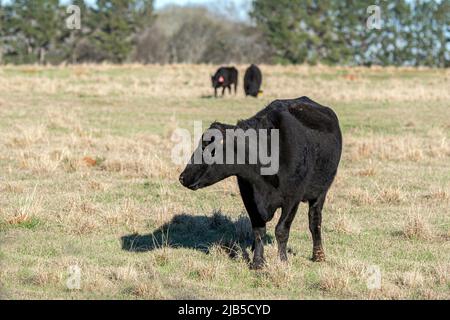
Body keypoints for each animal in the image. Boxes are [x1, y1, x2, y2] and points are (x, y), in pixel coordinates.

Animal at [179, 96, 342, 268]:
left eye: (210, 149)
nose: (183, 177)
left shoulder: (293, 198)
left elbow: (282, 230)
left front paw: (282, 260)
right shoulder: (249, 197)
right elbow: (258, 230)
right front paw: (258, 262)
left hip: (321, 192)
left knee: (314, 220)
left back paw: (319, 255)